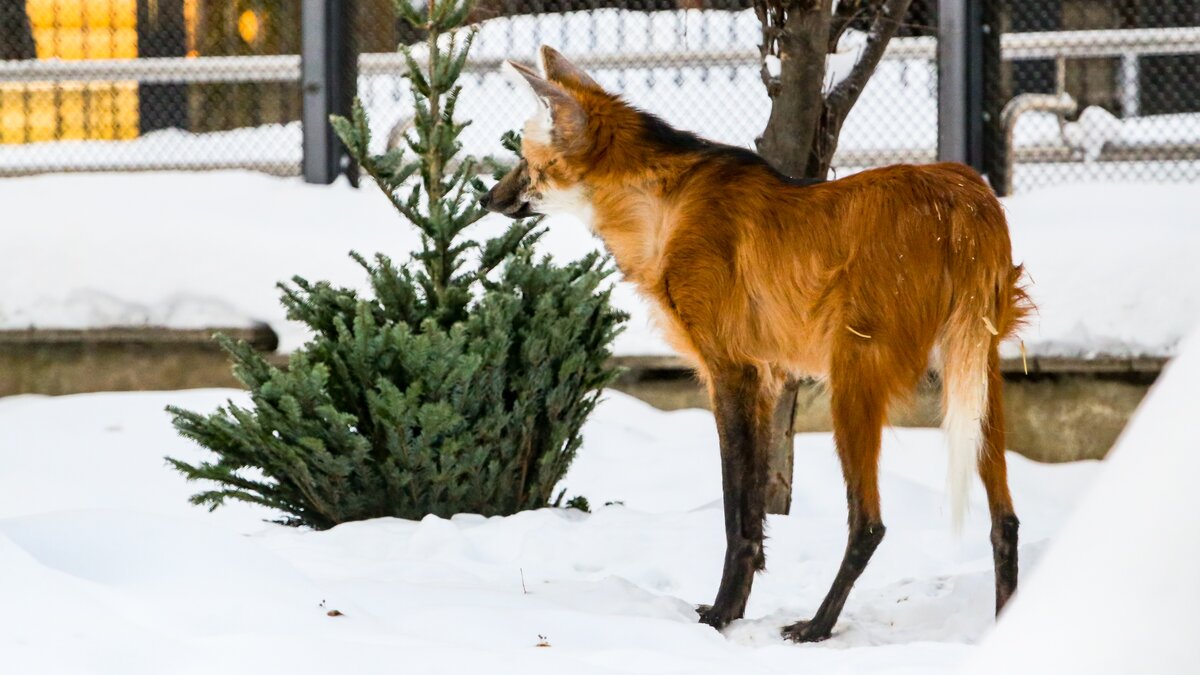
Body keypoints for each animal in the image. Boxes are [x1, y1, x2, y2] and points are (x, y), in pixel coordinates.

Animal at [482, 45, 1027, 634]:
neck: (660, 212)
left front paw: (721, 615)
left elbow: (736, 510)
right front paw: (736, 609)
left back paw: (816, 627)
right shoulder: (766, 378)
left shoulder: (730, 370)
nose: (489, 197)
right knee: (1005, 522)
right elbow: (755, 508)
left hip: (854, 380)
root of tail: (967, 196)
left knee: (870, 523)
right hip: (978, 370)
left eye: (524, 160)